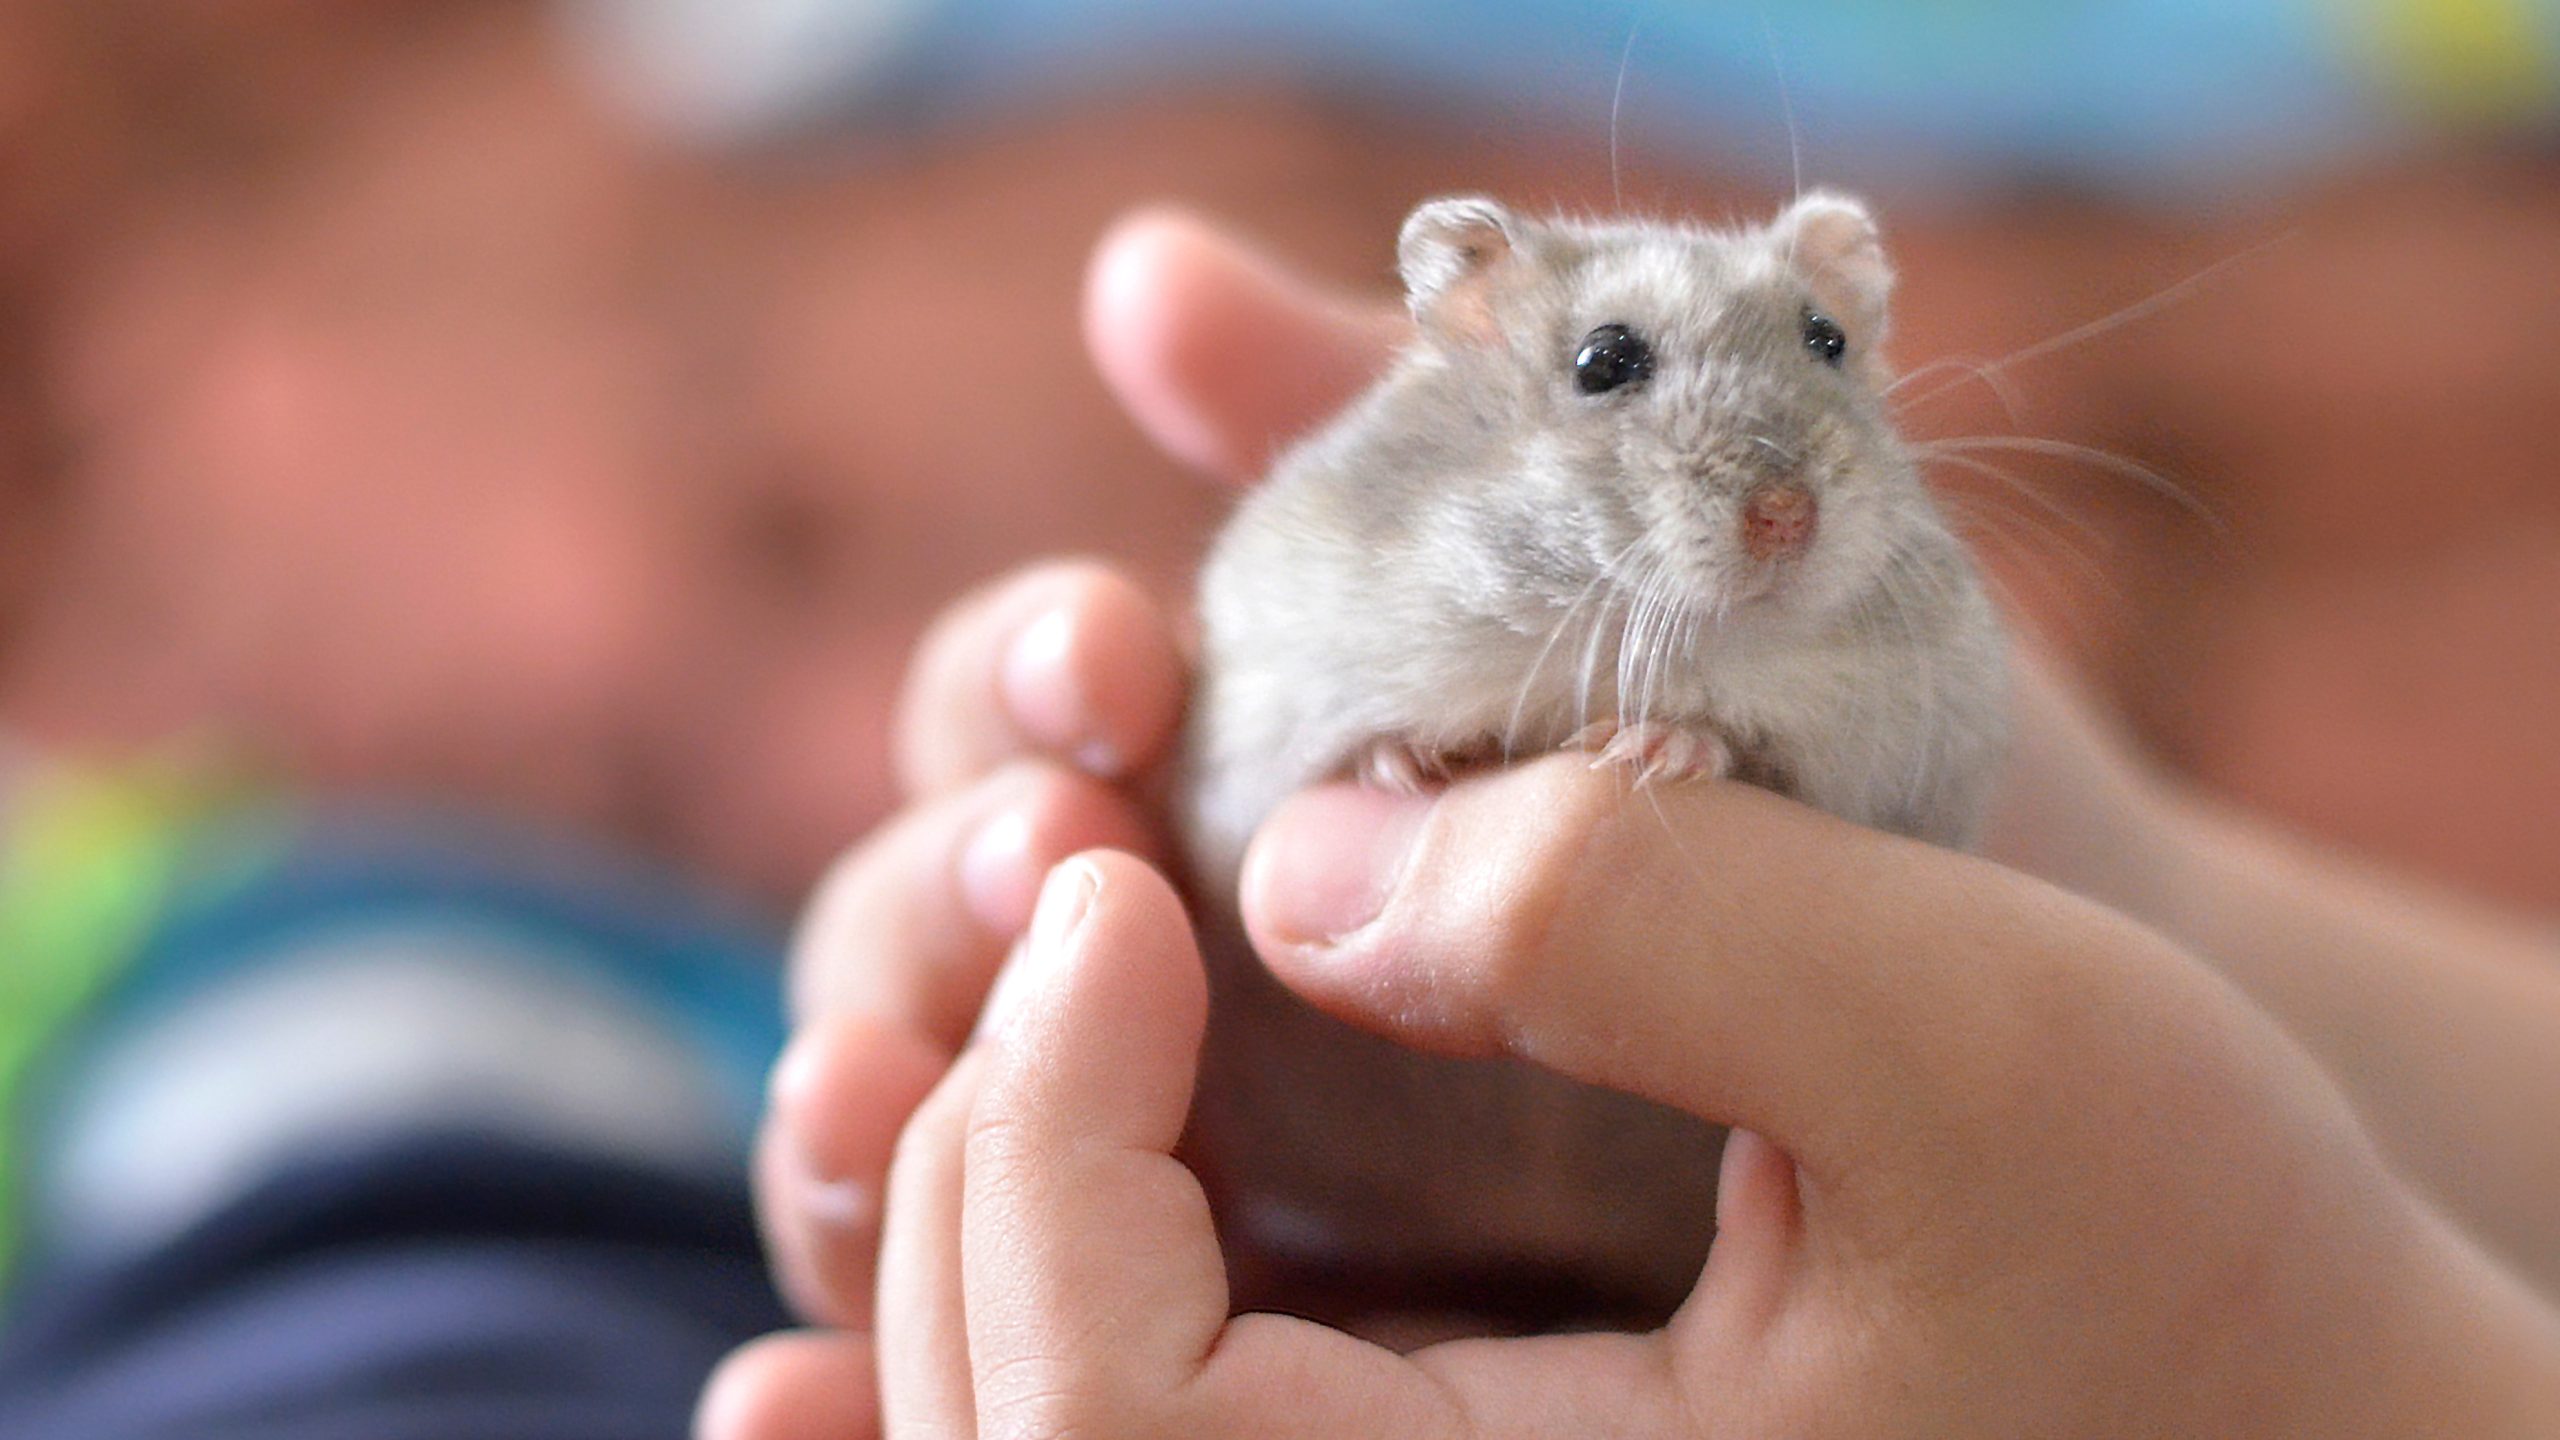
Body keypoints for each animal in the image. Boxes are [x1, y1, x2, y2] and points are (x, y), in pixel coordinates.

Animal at [1182, 190, 2017, 1322]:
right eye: (1604, 360)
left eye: (1828, 341)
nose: (1787, 516)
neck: (1611, 617)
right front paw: (1410, 764)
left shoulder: (1905, 759)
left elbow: (1761, 752)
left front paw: (1654, 746)